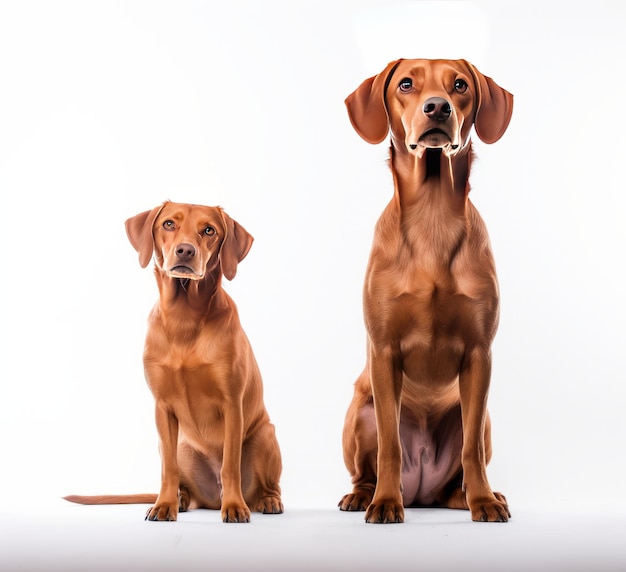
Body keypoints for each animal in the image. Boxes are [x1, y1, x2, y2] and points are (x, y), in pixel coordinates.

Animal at [66, 201, 282, 524]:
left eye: (209, 230)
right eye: (169, 224)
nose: (185, 250)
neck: (185, 319)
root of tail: (211, 498)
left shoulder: (232, 405)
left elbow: (229, 465)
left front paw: (234, 506)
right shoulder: (163, 408)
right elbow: (167, 469)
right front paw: (164, 505)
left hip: (265, 436)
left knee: (264, 486)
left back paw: (265, 500)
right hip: (182, 448)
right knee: (181, 480)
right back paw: (180, 498)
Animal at [336, 59, 512, 524]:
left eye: (460, 85)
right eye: (406, 84)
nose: (438, 107)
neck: (432, 215)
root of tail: (422, 491)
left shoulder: (479, 354)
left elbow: (471, 450)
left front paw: (483, 502)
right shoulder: (383, 352)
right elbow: (390, 446)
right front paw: (384, 502)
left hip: (482, 417)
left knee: (466, 461)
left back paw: (476, 495)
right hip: (359, 412)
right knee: (370, 465)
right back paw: (364, 495)